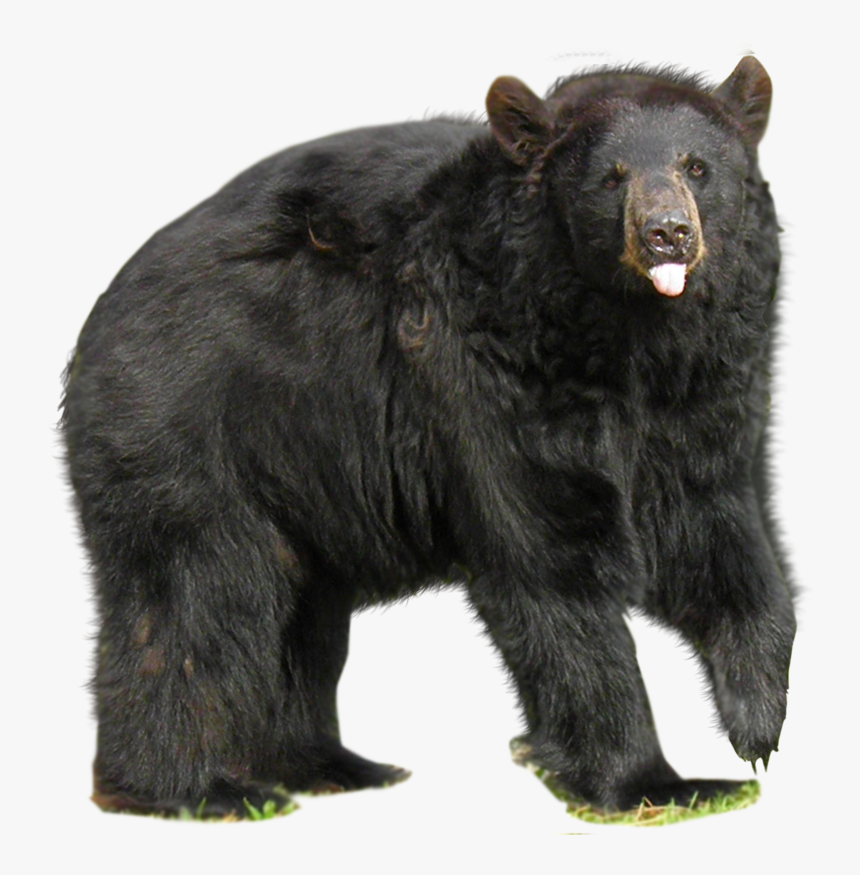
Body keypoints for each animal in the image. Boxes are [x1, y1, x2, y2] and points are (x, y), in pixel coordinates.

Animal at [62, 56, 795, 821]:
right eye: (610, 176)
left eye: (697, 167)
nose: (667, 233)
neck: (627, 339)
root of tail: (97, 321)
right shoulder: (490, 371)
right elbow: (550, 559)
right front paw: (653, 782)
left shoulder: (710, 389)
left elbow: (720, 527)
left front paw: (756, 725)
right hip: (187, 425)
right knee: (195, 596)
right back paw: (196, 790)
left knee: (302, 616)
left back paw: (331, 764)